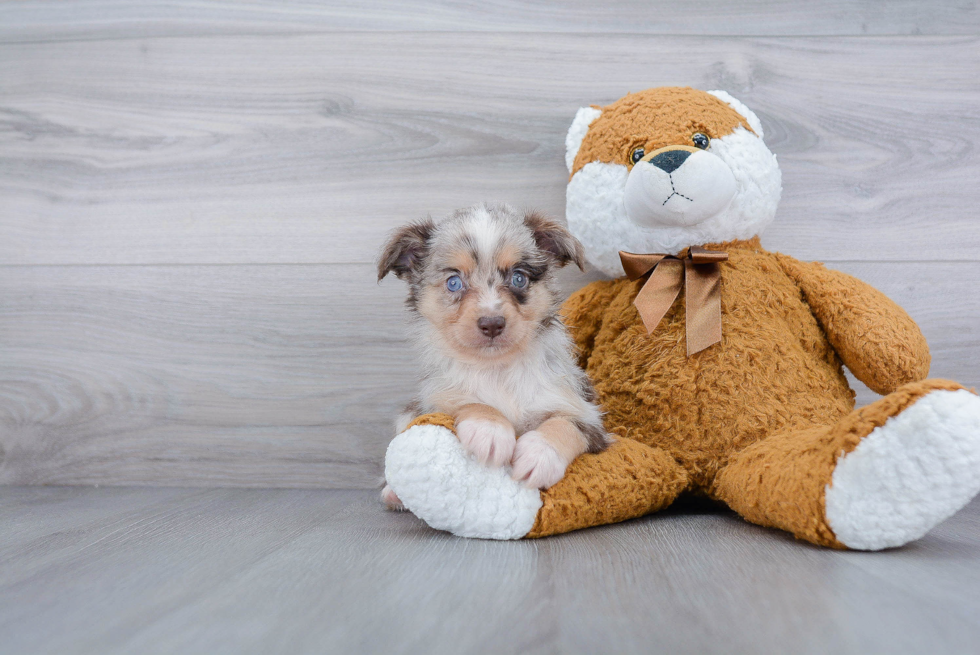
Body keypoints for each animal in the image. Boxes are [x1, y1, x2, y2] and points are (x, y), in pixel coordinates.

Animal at [376, 202, 604, 510]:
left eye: (518, 277)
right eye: (454, 283)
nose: (492, 324)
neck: (497, 370)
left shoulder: (588, 417)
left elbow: (564, 424)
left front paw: (540, 454)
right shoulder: (432, 402)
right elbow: (469, 402)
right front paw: (490, 430)